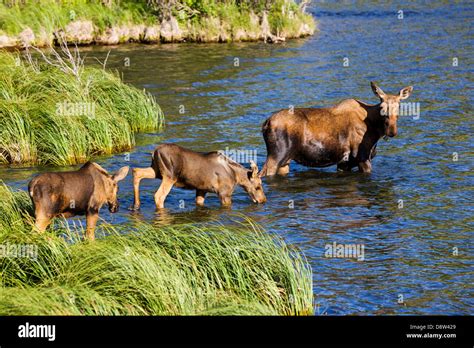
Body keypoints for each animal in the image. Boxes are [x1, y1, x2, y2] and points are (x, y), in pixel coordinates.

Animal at [130, 143, 266, 211]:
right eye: (258, 186)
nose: (263, 200)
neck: (236, 176)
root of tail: (155, 151)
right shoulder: (224, 193)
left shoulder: (201, 189)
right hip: (169, 176)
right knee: (159, 196)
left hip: (156, 171)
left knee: (136, 171)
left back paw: (136, 205)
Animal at [262, 82, 412, 177]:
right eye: (382, 106)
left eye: (399, 105)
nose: (391, 131)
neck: (375, 130)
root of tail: (266, 123)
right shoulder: (362, 157)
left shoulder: (344, 163)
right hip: (276, 156)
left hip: (284, 162)